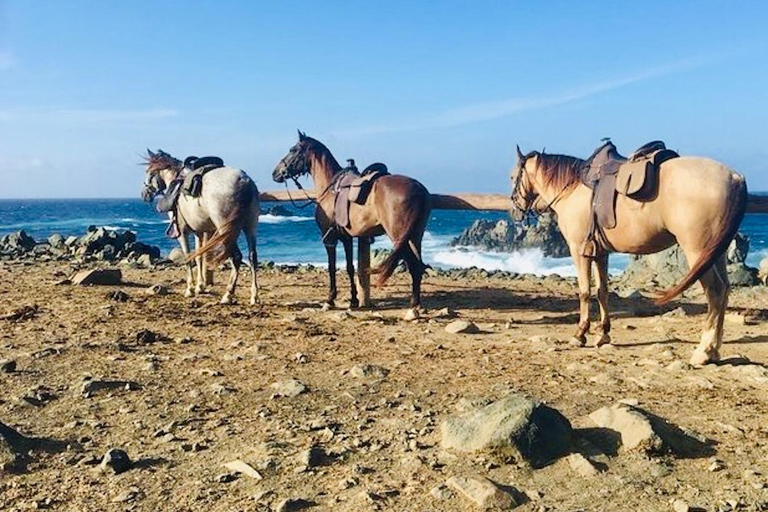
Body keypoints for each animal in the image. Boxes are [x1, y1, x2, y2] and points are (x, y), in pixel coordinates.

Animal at [138, 150, 258, 306]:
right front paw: (200, 286)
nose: (144, 194)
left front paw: (190, 289)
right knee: (252, 257)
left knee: (236, 258)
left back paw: (228, 295)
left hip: (226, 230)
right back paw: (254, 296)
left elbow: (188, 257)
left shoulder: (182, 232)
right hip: (250, 227)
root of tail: (244, 181)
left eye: (149, 172)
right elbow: (200, 256)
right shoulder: (201, 232)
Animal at [272, 131, 432, 316]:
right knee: (418, 267)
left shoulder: (329, 238)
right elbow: (349, 267)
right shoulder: (346, 237)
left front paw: (330, 300)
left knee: (414, 267)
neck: (330, 189)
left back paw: (413, 307)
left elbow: (331, 267)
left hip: (400, 238)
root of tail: (419, 189)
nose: (275, 173)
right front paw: (354, 299)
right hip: (415, 237)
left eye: (293, 150)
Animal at [512, 146, 748, 366]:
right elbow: (602, 291)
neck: (572, 189)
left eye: (513, 177)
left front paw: (580, 334)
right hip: (715, 253)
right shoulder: (600, 253)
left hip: (697, 251)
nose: (514, 210)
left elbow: (584, 292)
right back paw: (715, 350)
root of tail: (735, 177)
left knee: (715, 292)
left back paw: (704, 352)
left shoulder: (578, 251)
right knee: (725, 291)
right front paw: (603, 334)